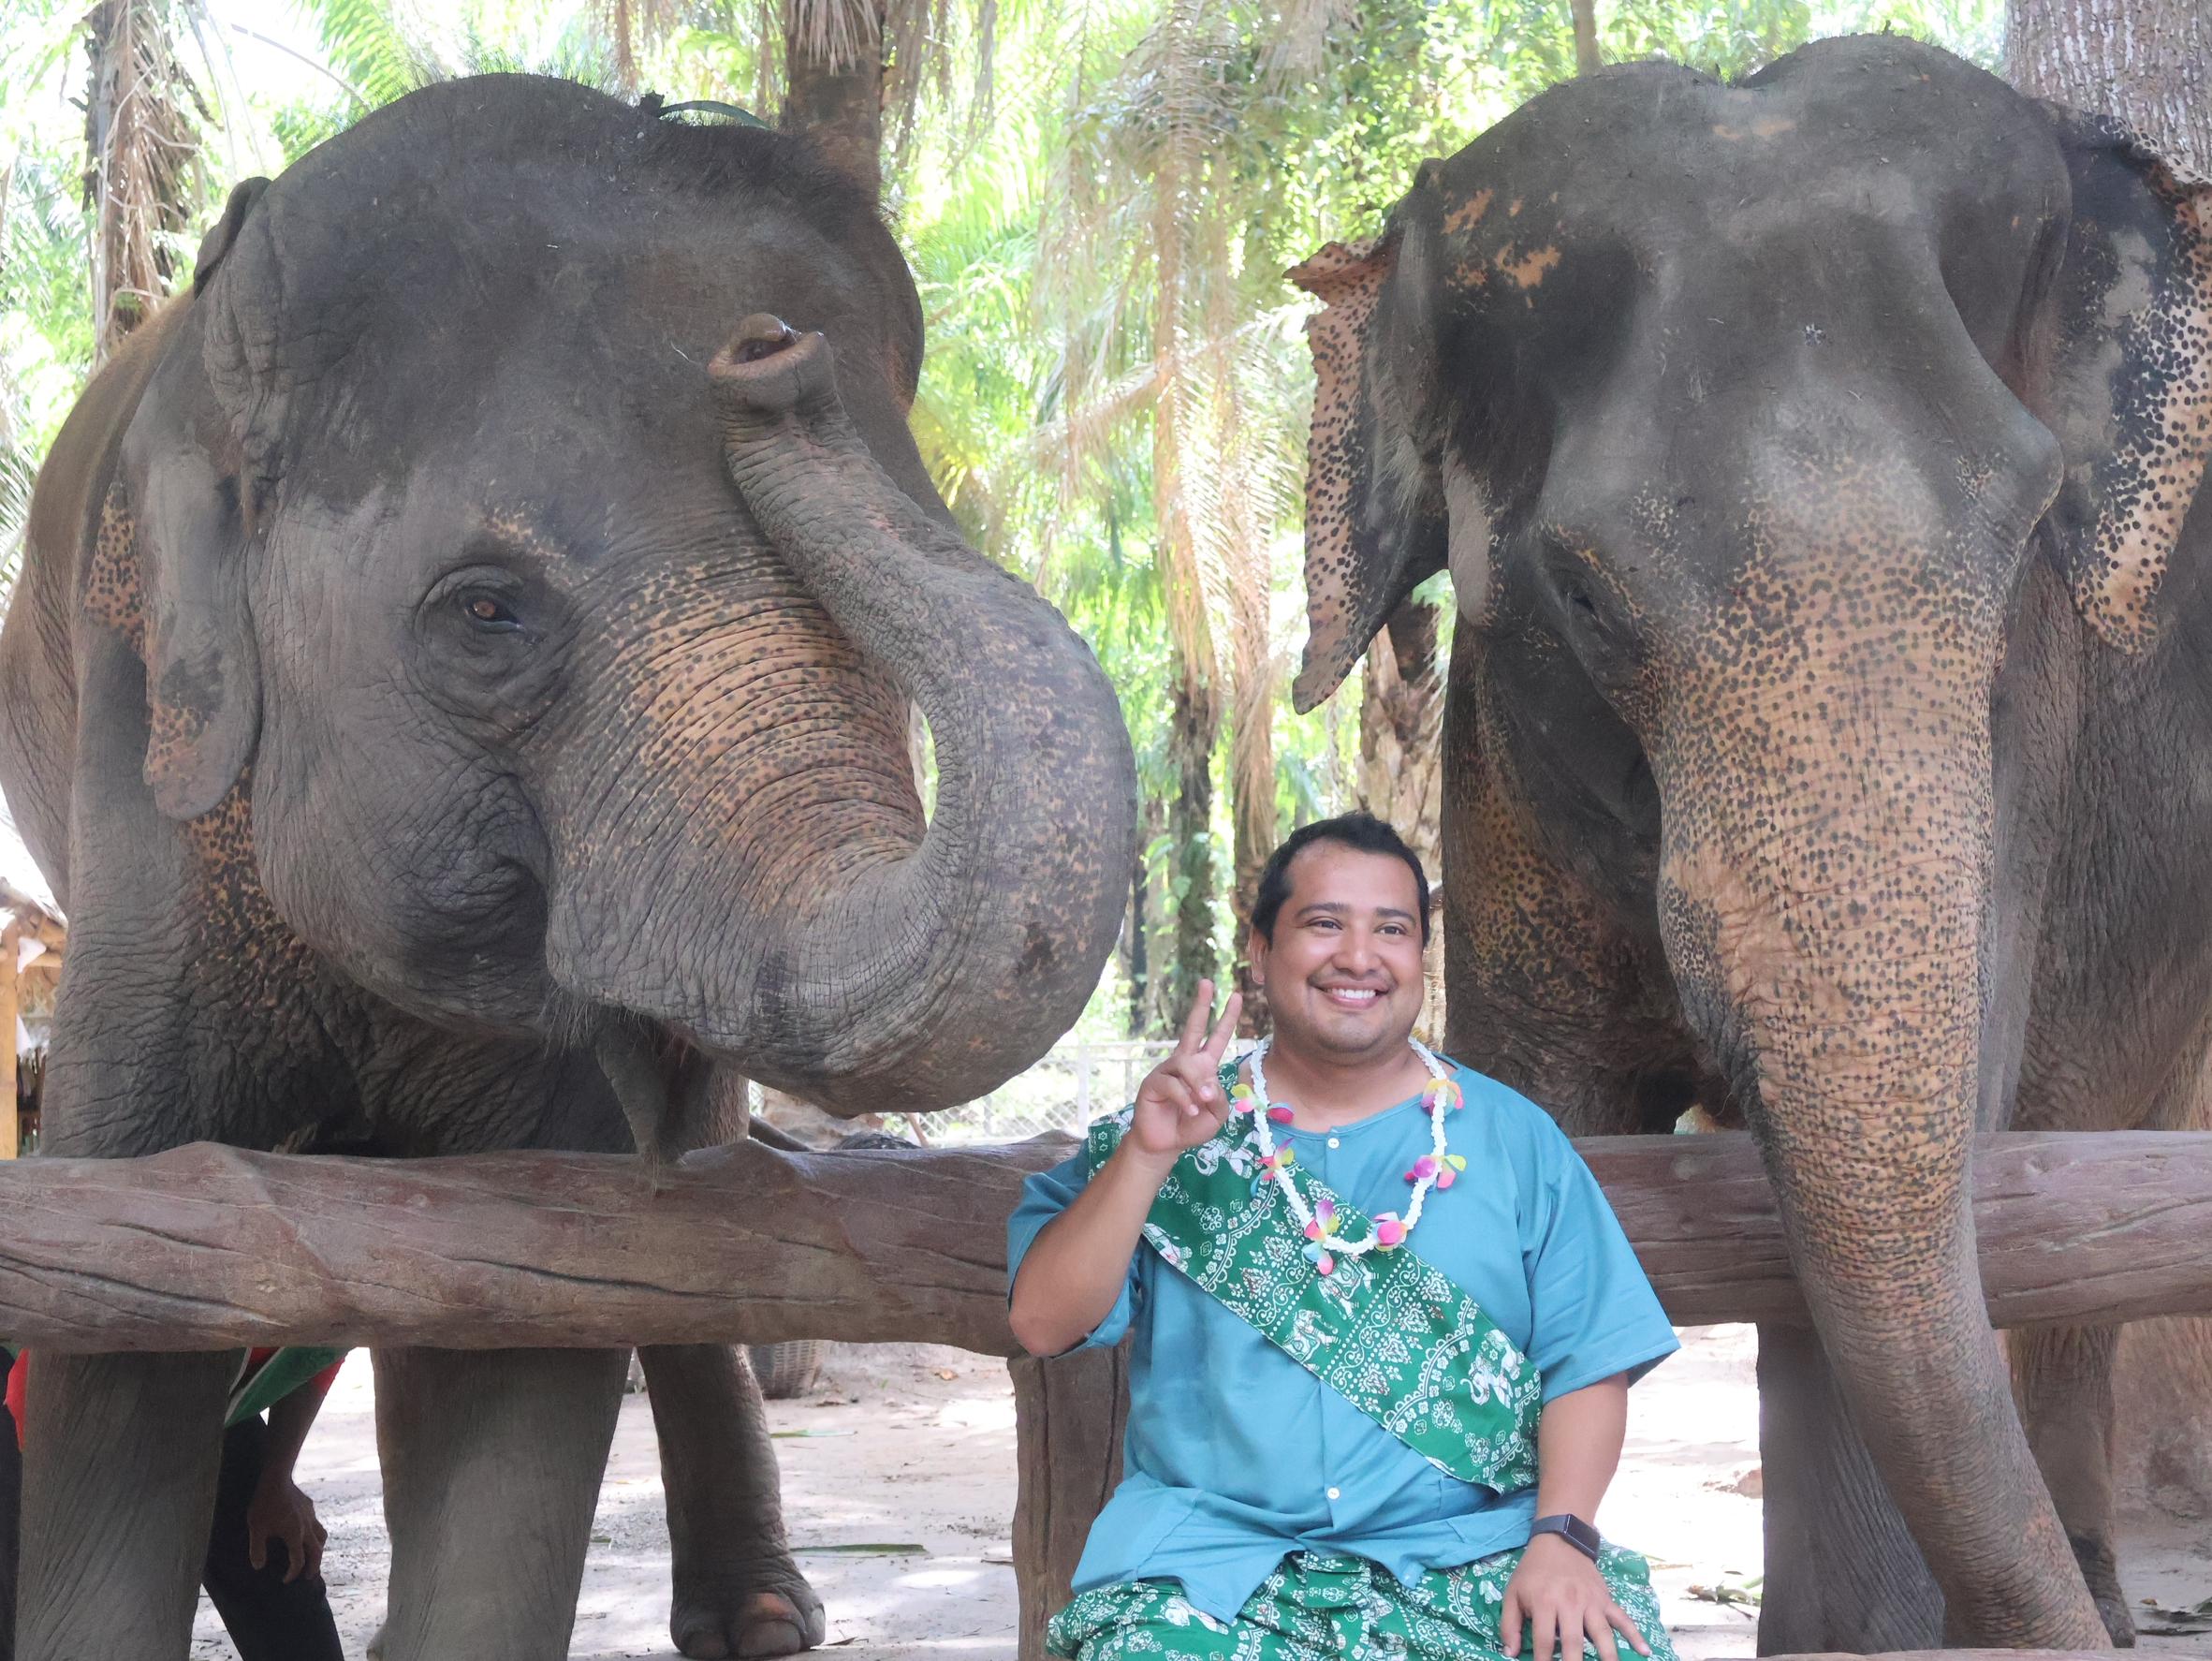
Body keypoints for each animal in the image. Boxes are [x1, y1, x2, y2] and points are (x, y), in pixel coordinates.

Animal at [0, 74, 1136, 1661]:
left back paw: (760, 1617)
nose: (768, 358)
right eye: (488, 611)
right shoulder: (146, 795)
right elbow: (120, 1332)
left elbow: (527, 1321)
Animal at [1286, 33, 2209, 1657]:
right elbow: (1543, 1113)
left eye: (2021, 544)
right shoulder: (1497, 770)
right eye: (1587, 598)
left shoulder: (2022, 762)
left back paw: (2098, 1585)